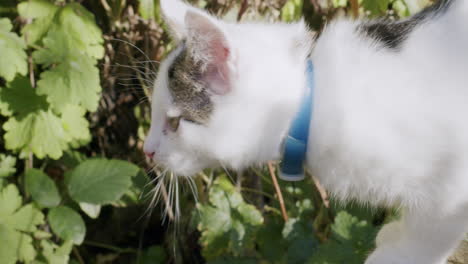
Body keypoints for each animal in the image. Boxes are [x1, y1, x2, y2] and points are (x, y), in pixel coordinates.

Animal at [143, 1, 468, 262]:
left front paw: (397, 253)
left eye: (174, 122)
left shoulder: (450, 190)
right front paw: (395, 233)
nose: (147, 151)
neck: (313, 99)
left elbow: (429, 233)